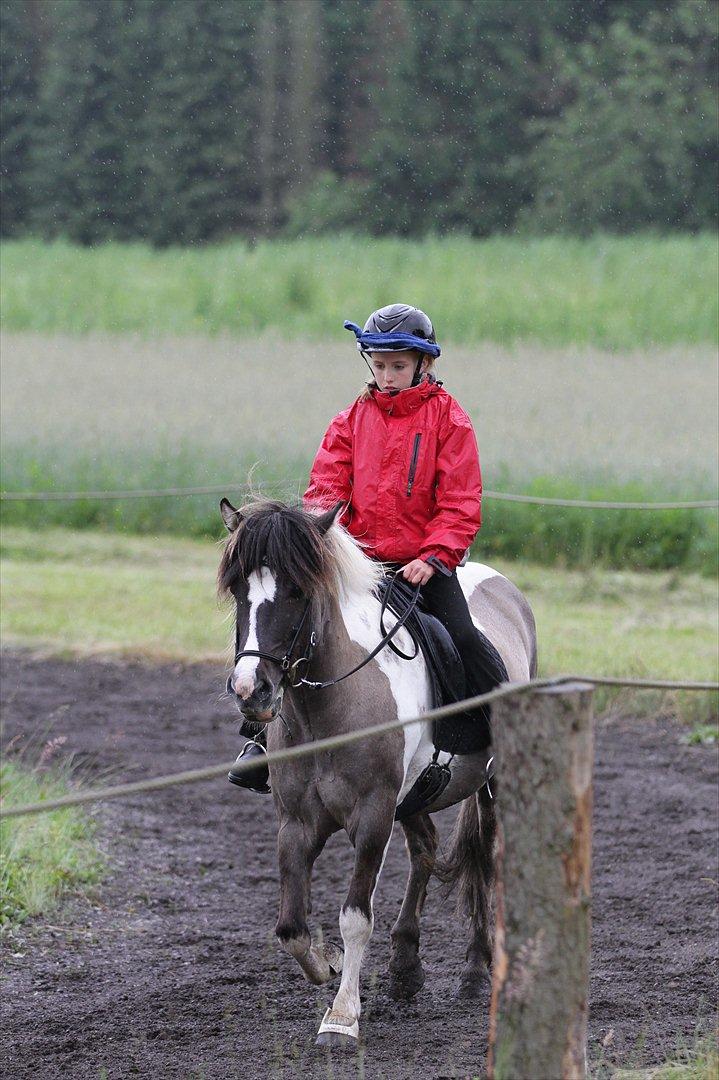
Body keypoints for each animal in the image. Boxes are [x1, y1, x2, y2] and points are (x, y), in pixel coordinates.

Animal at [218, 498, 537, 1045]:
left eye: (297, 591)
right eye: (240, 590)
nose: (250, 690)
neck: (329, 711)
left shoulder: (371, 817)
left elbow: (355, 917)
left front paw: (342, 1016)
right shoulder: (295, 823)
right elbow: (291, 928)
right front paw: (327, 963)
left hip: (485, 787)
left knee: (487, 860)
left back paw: (477, 972)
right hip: (414, 797)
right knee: (426, 851)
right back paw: (407, 967)